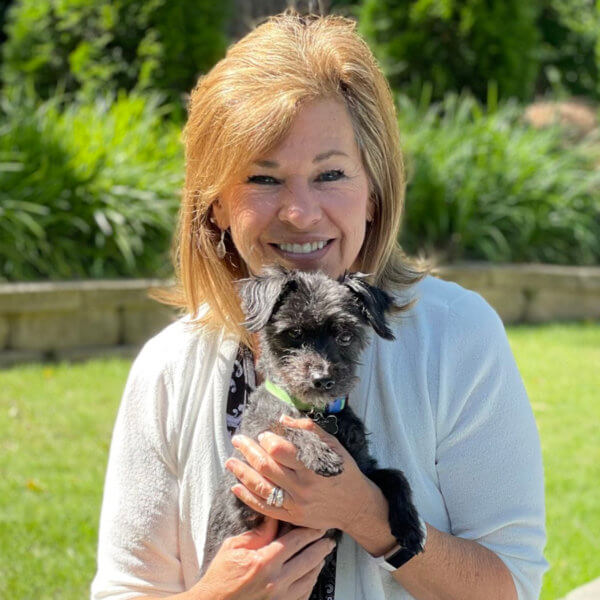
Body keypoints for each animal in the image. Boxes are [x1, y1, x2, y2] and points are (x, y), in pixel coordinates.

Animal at [203, 268, 426, 576]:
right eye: (295, 333)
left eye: (345, 335)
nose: (323, 379)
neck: (318, 414)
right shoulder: (245, 480)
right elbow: (285, 425)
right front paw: (319, 453)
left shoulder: (364, 469)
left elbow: (396, 476)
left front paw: (410, 527)